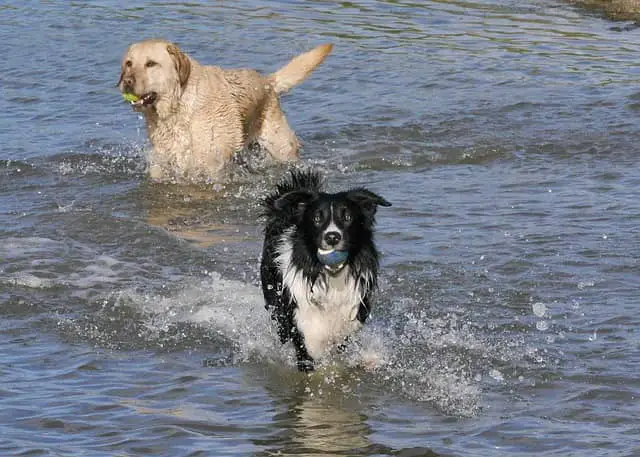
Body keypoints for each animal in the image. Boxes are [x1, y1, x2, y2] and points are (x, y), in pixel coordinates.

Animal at [117, 39, 332, 182]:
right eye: (128, 63)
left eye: (151, 64)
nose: (126, 82)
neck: (178, 110)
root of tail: (267, 81)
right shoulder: (163, 158)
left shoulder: (211, 162)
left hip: (281, 148)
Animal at [260, 169, 390, 368]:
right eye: (317, 218)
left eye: (347, 217)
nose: (332, 237)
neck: (331, 279)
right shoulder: (303, 330)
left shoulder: (350, 322)